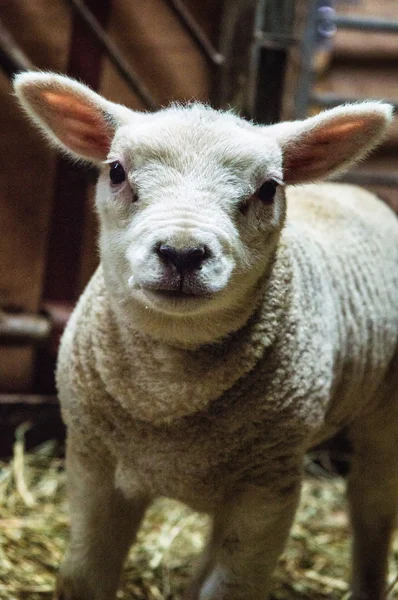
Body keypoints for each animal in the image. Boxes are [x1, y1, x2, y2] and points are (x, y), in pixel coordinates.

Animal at [13, 72, 398, 600]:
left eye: (269, 189)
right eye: (116, 172)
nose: (182, 252)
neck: (170, 396)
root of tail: (356, 192)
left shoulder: (269, 486)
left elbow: (232, 587)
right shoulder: (93, 462)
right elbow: (83, 574)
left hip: (383, 412)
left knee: (371, 504)